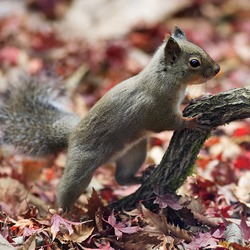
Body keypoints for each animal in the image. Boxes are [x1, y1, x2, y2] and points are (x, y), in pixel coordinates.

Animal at [0, 26, 219, 211]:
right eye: (194, 63)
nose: (217, 69)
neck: (165, 78)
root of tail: (71, 136)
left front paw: (198, 97)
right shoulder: (156, 110)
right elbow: (167, 123)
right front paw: (191, 122)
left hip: (134, 152)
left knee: (121, 178)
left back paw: (142, 176)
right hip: (81, 166)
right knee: (67, 187)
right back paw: (64, 213)